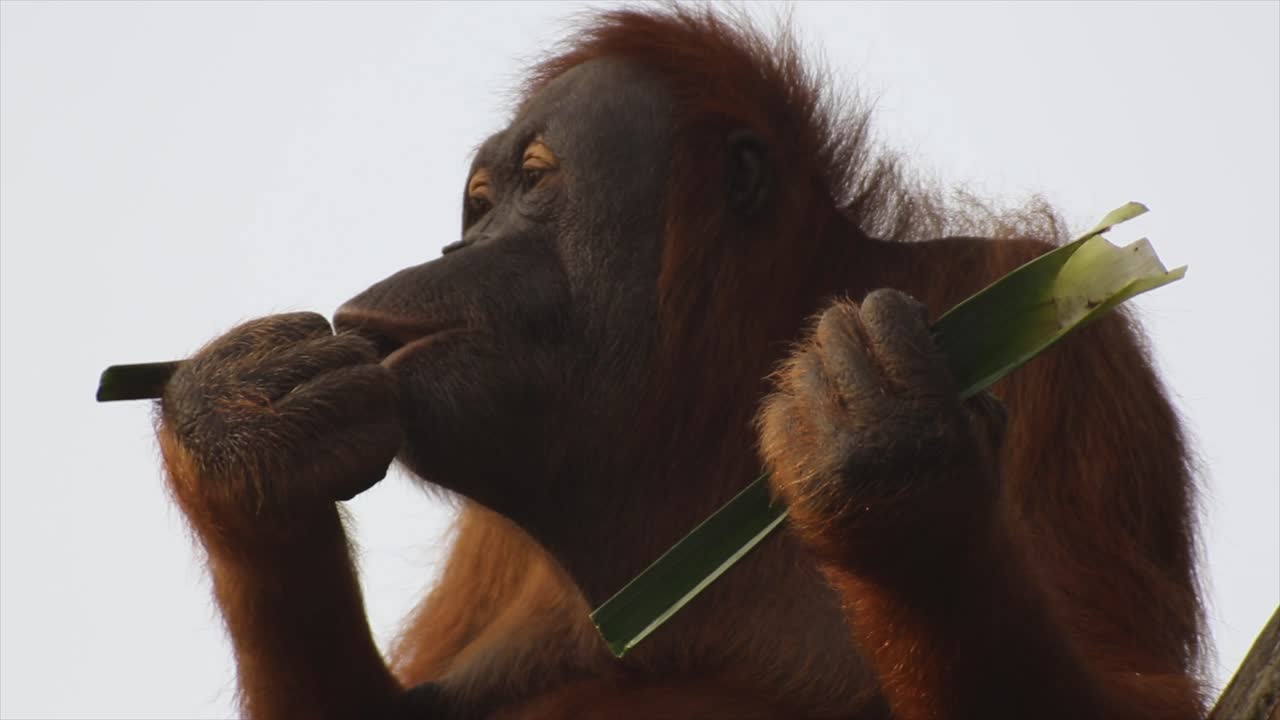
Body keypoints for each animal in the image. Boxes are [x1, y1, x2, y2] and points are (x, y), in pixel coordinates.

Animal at [154, 8, 1203, 719]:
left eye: (533, 181)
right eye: (478, 204)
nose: (458, 249)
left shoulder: (1044, 322)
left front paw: (887, 449)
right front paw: (243, 427)